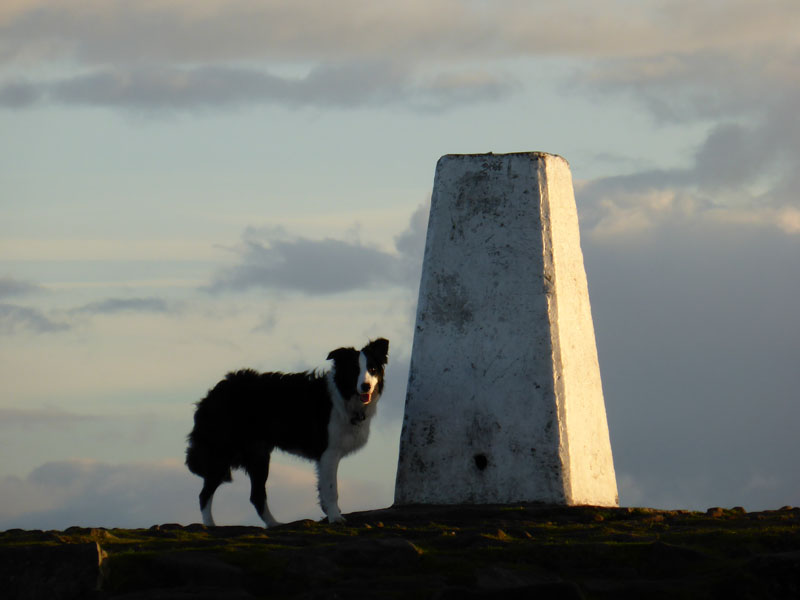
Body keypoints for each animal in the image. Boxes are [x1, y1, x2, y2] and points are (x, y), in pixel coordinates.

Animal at [186, 336, 390, 528]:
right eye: (354, 370)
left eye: (372, 369)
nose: (366, 386)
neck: (344, 397)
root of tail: (214, 392)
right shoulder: (329, 452)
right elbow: (332, 489)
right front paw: (335, 517)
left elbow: (323, 489)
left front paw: (329, 512)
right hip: (222, 451)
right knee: (204, 494)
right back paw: (210, 525)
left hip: (258, 456)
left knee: (256, 495)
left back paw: (274, 524)